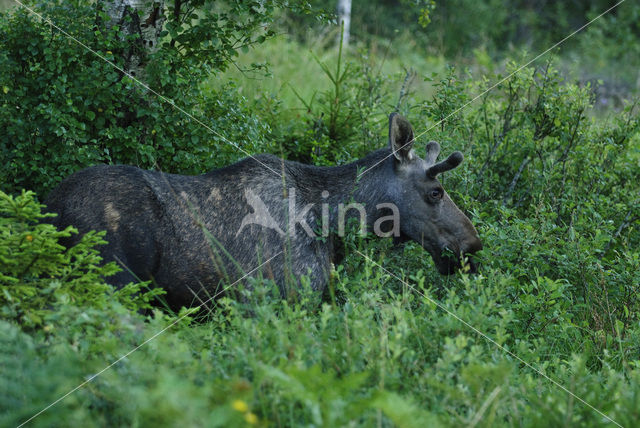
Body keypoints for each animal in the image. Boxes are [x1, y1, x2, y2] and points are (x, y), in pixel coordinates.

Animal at [45, 113, 482, 308]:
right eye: (436, 191)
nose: (473, 245)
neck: (333, 220)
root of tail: (51, 206)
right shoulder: (282, 298)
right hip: (111, 281)